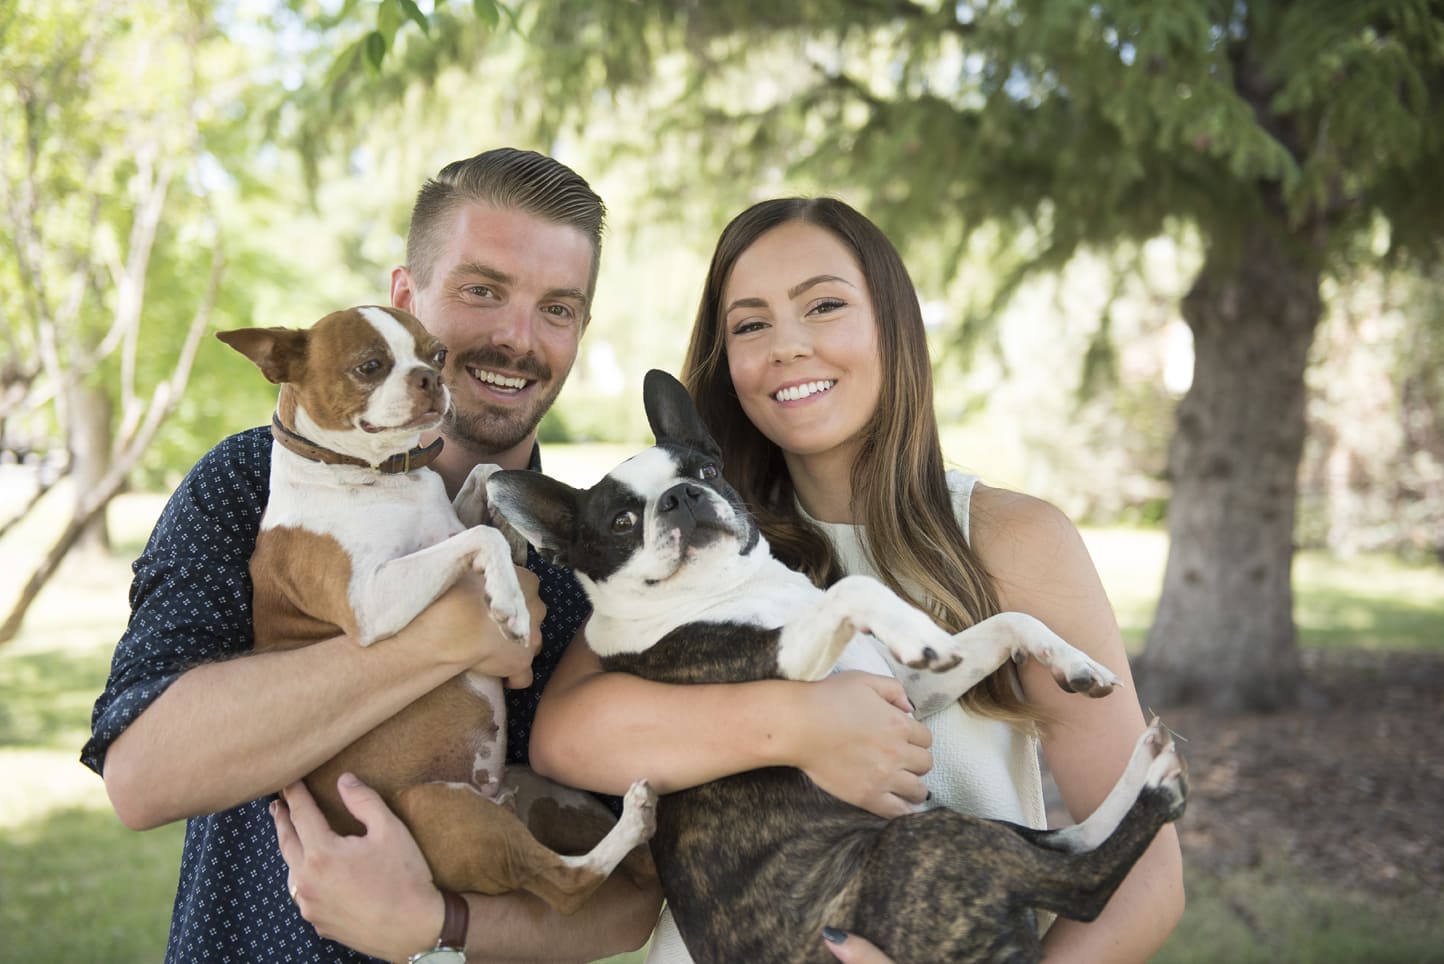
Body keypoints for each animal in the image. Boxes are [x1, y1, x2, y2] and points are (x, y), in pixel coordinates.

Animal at [218, 307, 655, 912]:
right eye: (370, 366)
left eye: (438, 353)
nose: (429, 378)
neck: (376, 474)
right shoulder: (368, 603)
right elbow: (477, 537)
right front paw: (510, 601)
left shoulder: (445, 518)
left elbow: (486, 475)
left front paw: (516, 534)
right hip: (436, 804)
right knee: (564, 884)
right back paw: (632, 822)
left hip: (547, 792)